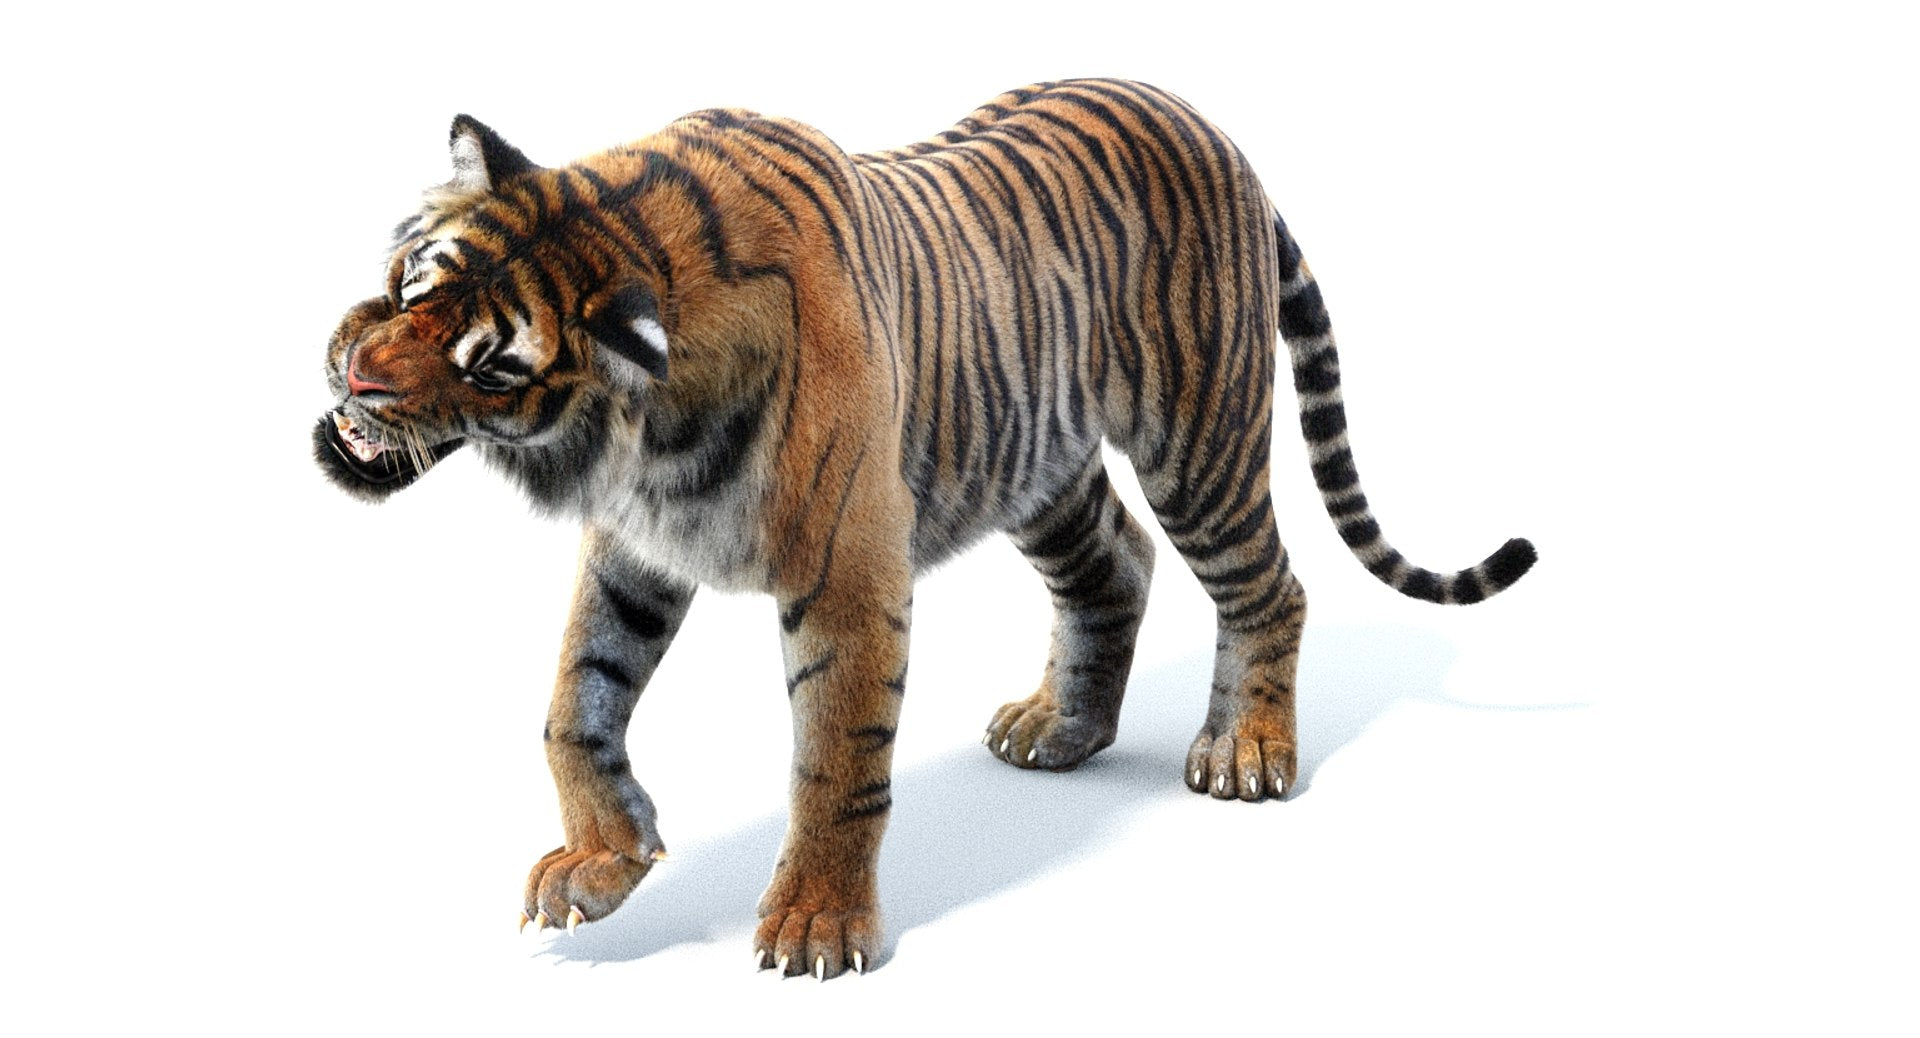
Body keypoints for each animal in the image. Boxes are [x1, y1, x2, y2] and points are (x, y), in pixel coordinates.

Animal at [312, 78, 1535, 980]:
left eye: (491, 366)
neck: (644, 431)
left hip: (1201, 436)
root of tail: (1211, 127)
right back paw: (1060, 728)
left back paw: (1244, 752)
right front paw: (601, 866)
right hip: (1037, 459)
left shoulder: (847, 578)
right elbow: (576, 703)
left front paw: (814, 928)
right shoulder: (635, 546)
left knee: (1268, 584)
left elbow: (834, 759)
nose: (353, 375)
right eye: (412, 280)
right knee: (1116, 564)